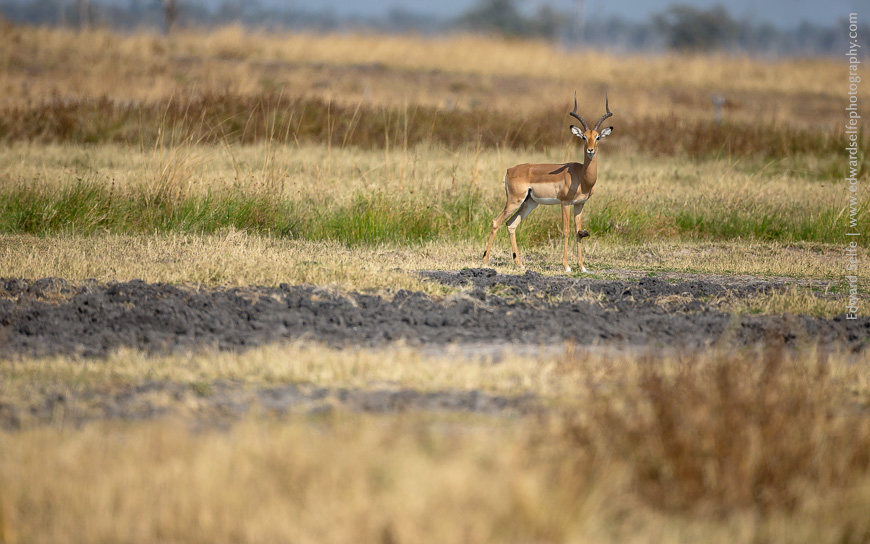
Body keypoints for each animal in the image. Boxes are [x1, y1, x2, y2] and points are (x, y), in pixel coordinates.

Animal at [482, 93, 613, 273]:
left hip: (530, 203)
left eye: (597, 137)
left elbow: (578, 231)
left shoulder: (580, 204)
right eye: (584, 137)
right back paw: (485, 262)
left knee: (511, 224)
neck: (581, 175)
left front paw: (582, 267)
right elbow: (566, 231)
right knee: (496, 222)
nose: (590, 150)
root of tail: (510, 170)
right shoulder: (565, 203)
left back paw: (520, 264)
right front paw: (566, 266)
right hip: (514, 201)